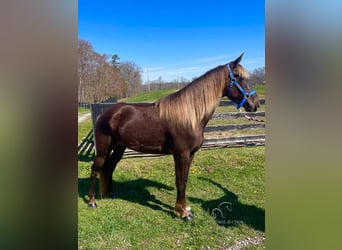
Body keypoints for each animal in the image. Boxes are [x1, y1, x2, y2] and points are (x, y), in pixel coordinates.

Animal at [87, 53, 260, 220]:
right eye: (237, 76)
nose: (255, 104)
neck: (191, 116)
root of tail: (105, 114)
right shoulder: (181, 154)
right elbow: (180, 181)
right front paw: (182, 212)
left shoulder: (190, 154)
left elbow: (185, 179)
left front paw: (185, 208)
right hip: (103, 149)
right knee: (95, 169)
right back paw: (92, 201)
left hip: (118, 148)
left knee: (109, 168)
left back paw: (109, 194)